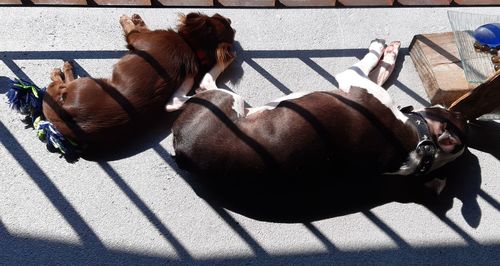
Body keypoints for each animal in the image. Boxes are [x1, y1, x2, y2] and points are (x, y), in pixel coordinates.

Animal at [40, 13, 234, 160]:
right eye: (222, 20)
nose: (230, 19)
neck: (189, 44)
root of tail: (70, 117)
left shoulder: (138, 37)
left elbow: (132, 29)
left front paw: (126, 19)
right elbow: (140, 26)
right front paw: (137, 18)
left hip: (86, 83)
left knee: (62, 84)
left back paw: (61, 71)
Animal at [170, 38, 466, 190]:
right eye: (460, 118)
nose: (454, 108)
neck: (417, 143)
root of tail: (181, 149)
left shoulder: (352, 80)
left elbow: (367, 61)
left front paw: (380, 46)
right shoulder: (362, 85)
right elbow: (378, 69)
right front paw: (390, 53)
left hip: (226, 100)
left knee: (191, 91)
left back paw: (214, 61)